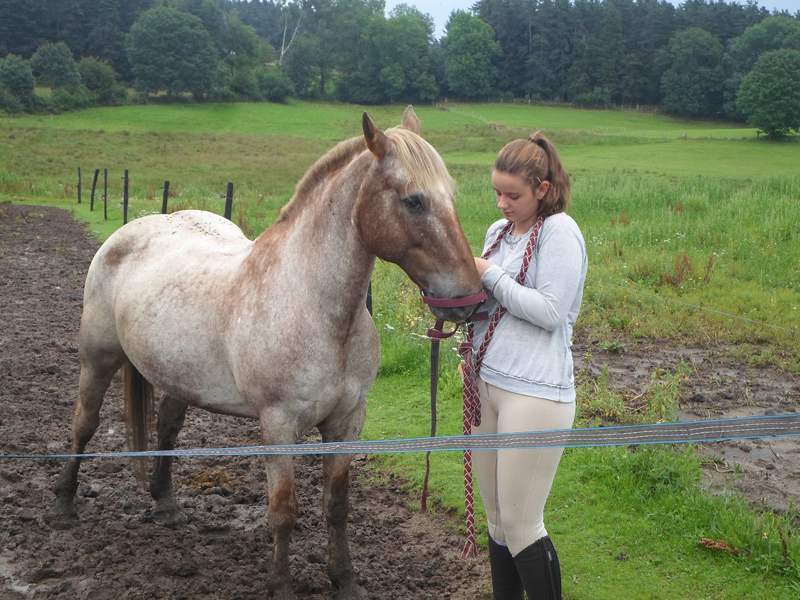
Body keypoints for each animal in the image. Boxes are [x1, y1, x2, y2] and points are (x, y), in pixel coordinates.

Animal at [54, 109, 488, 600]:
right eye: (414, 201)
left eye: (451, 195)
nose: (469, 298)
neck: (313, 308)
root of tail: (130, 232)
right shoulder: (278, 424)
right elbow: (284, 509)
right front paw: (281, 585)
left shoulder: (347, 421)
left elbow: (337, 505)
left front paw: (345, 580)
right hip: (97, 359)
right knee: (84, 424)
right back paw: (65, 504)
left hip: (178, 376)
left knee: (166, 428)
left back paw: (165, 505)